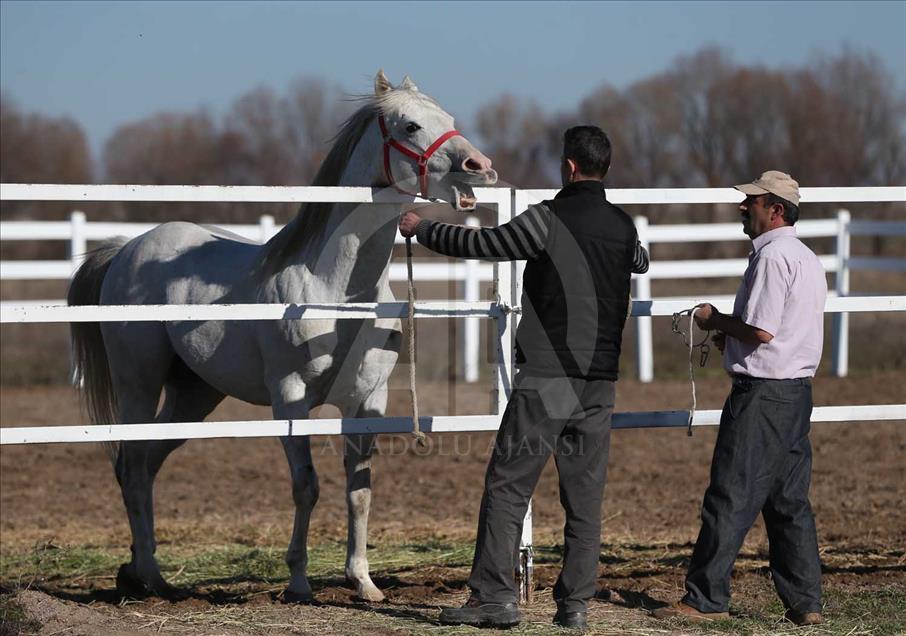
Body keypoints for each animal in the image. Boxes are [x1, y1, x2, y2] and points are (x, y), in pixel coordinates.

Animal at [67, 70, 497, 603]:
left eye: (450, 118)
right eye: (411, 125)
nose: (480, 167)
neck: (335, 291)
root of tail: (128, 249)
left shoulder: (367, 402)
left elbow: (360, 490)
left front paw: (364, 582)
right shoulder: (290, 399)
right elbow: (306, 486)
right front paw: (298, 582)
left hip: (194, 396)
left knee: (146, 462)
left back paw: (146, 574)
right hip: (138, 386)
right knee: (131, 466)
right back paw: (147, 573)